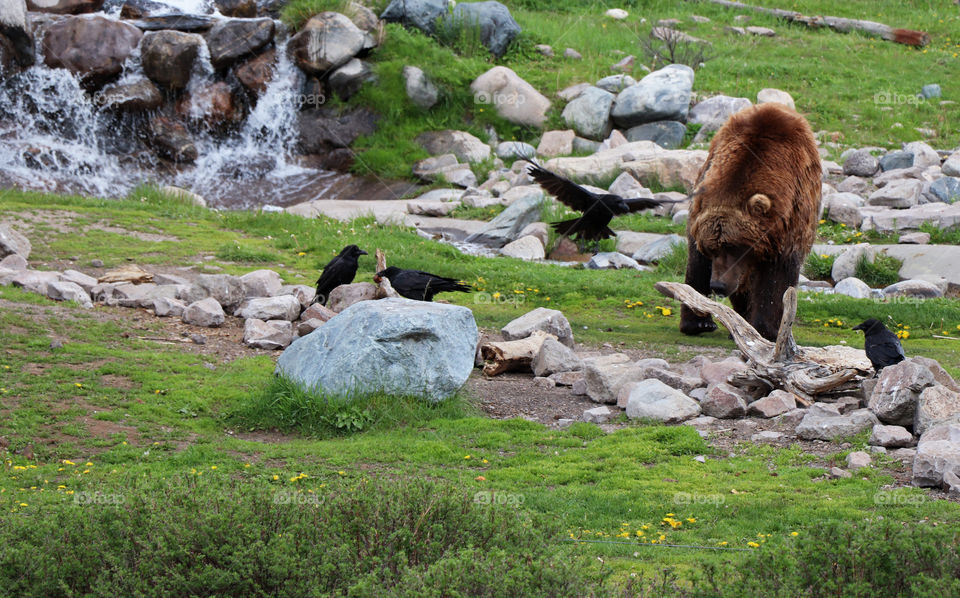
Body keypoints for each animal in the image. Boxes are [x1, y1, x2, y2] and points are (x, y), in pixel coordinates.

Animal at [680, 103, 820, 342]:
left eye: (733, 246)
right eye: (712, 248)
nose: (717, 285)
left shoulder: (787, 224)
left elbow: (777, 279)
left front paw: (767, 329)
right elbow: (698, 264)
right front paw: (698, 321)